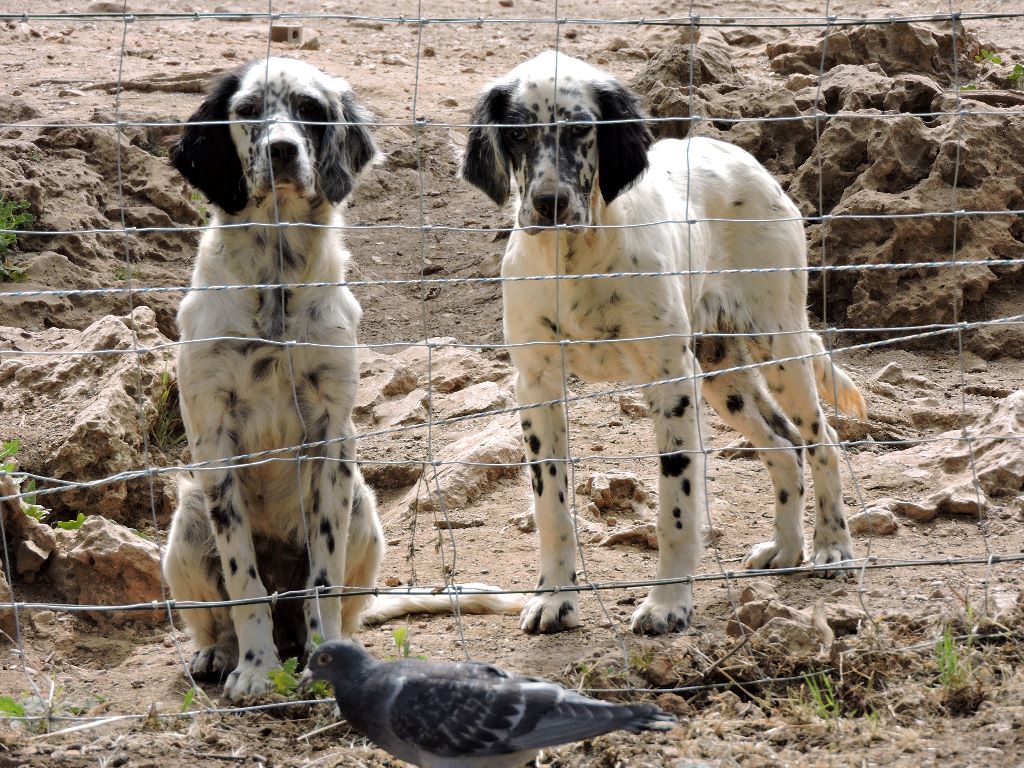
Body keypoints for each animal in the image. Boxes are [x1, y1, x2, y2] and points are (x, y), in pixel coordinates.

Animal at [460, 49, 868, 638]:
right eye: (517, 134)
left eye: (581, 129)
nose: (549, 202)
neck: (576, 259)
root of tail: (740, 156)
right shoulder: (536, 384)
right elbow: (552, 508)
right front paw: (556, 597)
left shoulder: (670, 382)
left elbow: (676, 507)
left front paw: (668, 603)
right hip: (721, 370)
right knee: (784, 444)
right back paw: (787, 549)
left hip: (778, 341)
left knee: (821, 439)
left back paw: (832, 546)